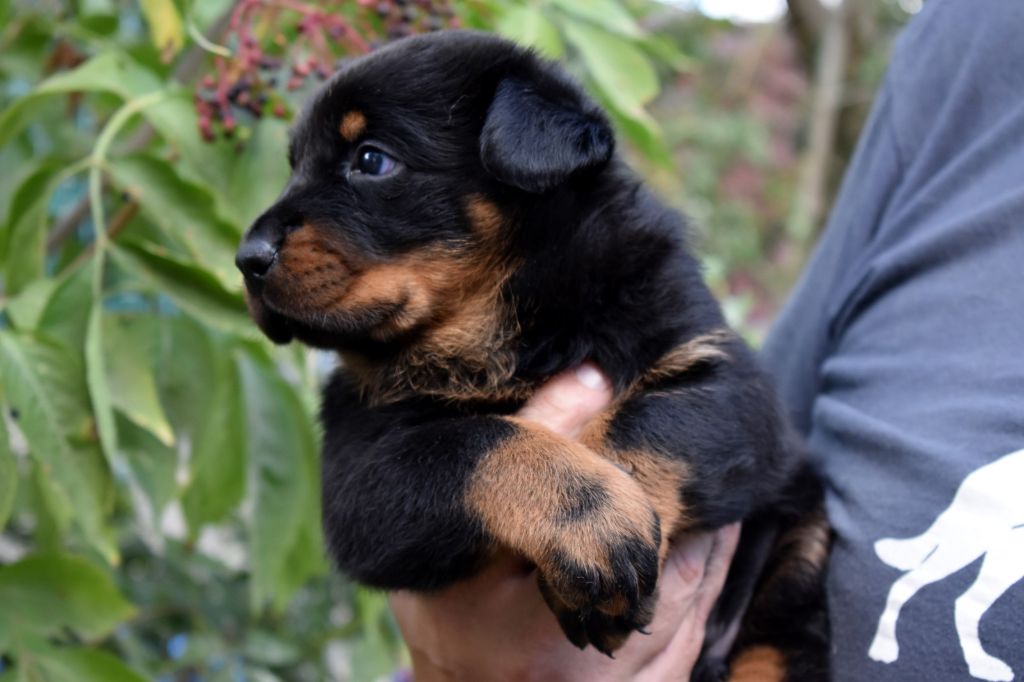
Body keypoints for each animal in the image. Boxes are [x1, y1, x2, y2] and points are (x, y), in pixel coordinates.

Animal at [237, 29, 831, 675]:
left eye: (371, 160)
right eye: (294, 165)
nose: (247, 257)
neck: (504, 331)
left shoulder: (731, 382)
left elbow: (650, 424)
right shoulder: (358, 477)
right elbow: (474, 443)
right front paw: (595, 519)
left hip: (800, 550)